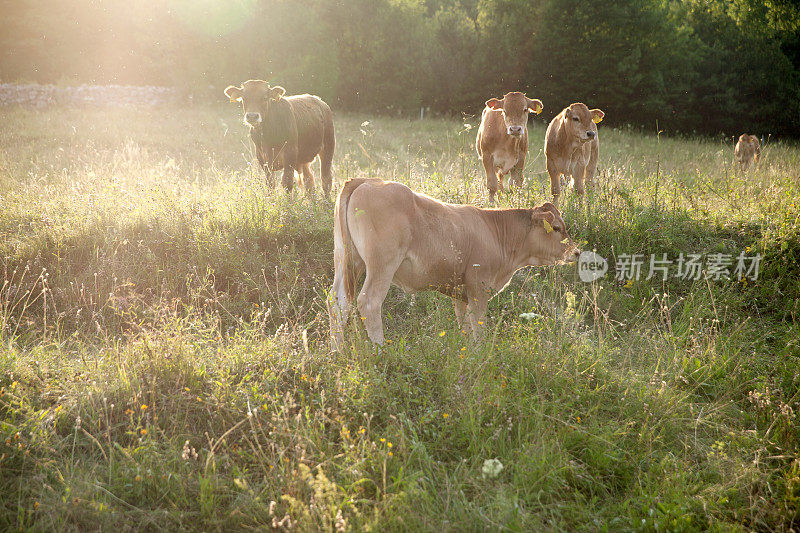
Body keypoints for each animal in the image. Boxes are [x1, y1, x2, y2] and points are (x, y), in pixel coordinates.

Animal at [328, 177, 580, 348]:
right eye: (556, 228)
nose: (576, 252)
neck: (494, 231)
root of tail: (368, 181)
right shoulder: (478, 287)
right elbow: (479, 326)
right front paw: (480, 353)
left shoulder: (461, 293)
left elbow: (465, 326)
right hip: (382, 264)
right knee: (369, 302)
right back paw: (380, 351)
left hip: (346, 260)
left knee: (337, 302)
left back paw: (337, 351)